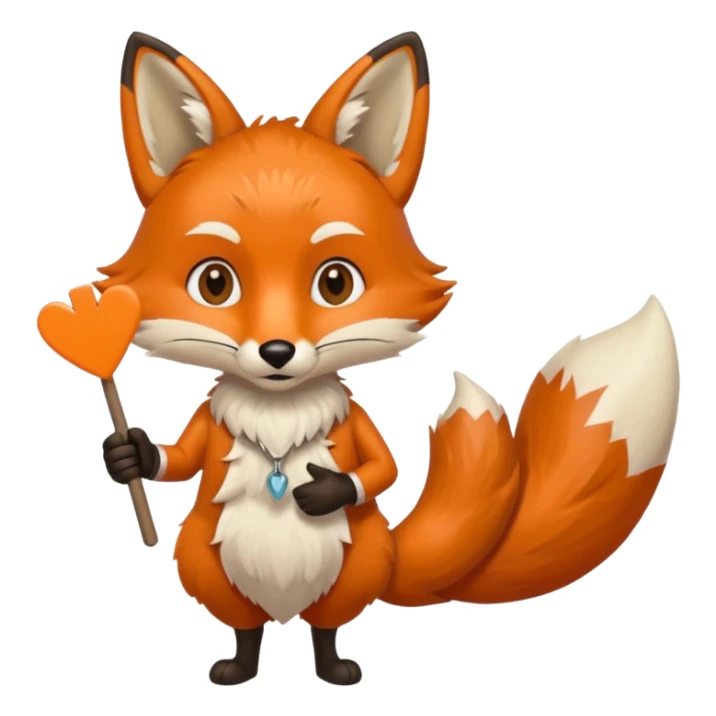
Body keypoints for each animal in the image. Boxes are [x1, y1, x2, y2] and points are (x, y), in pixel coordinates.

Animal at [97, 31, 680, 686]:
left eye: (335, 283)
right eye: (215, 283)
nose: (277, 351)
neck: (277, 418)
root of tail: (284, 609)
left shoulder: (360, 433)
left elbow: (381, 469)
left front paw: (325, 492)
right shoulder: (206, 436)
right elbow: (178, 458)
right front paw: (130, 454)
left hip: (358, 565)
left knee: (325, 627)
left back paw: (335, 669)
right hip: (206, 565)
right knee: (246, 628)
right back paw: (237, 668)